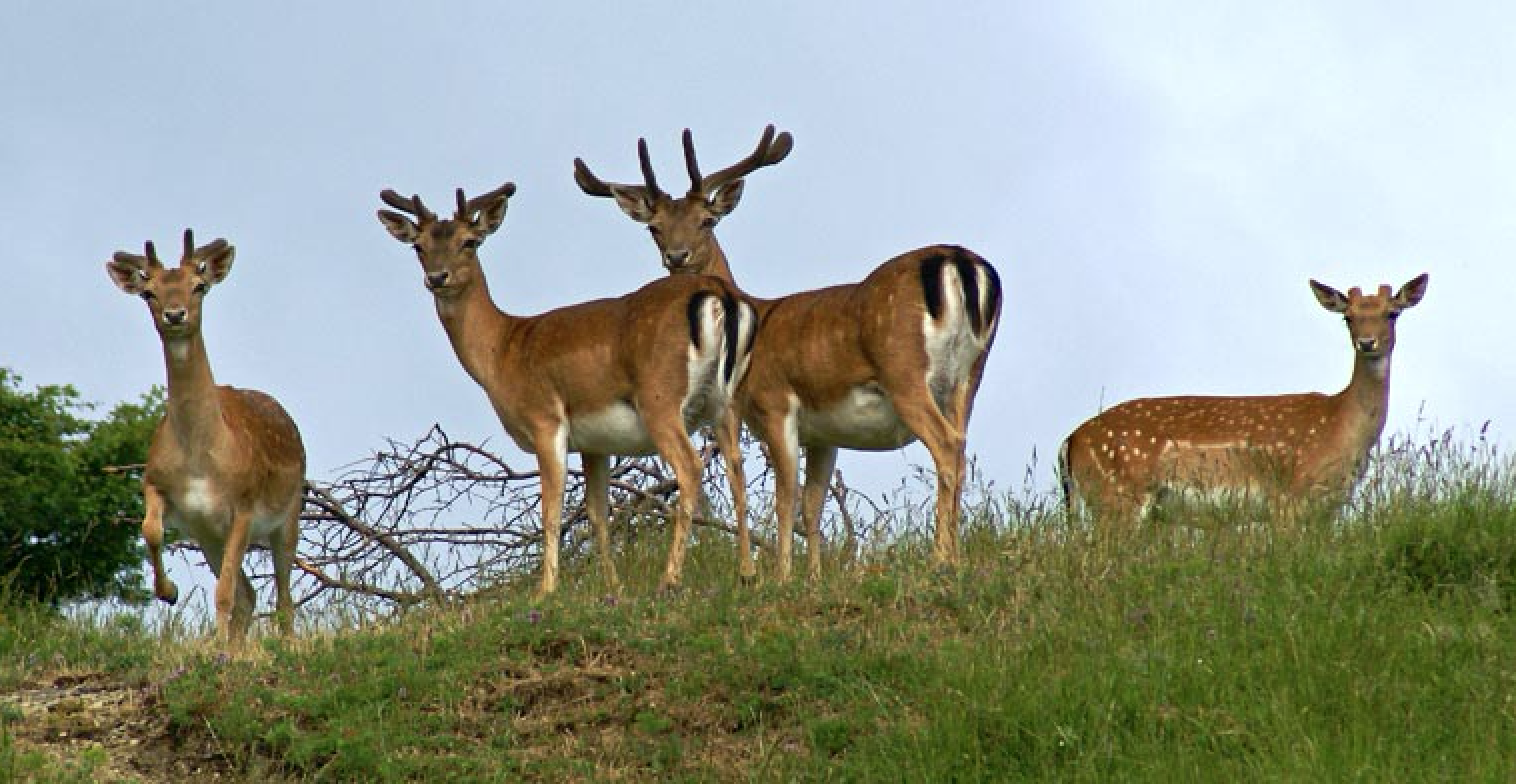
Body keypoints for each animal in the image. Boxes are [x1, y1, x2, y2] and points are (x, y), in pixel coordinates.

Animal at [106, 228, 307, 646]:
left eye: (199, 286)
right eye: (148, 292)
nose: (175, 314)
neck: (200, 457)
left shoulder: (245, 505)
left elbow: (224, 591)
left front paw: (217, 646)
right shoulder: (158, 484)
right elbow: (150, 530)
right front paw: (169, 593)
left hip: (289, 513)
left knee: (282, 596)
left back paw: (283, 644)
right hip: (210, 536)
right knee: (250, 594)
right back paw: (237, 646)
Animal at [375, 181, 754, 594]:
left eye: (469, 241)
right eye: (418, 245)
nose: (437, 277)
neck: (502, 351)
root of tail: (717, 293)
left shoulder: (544, 418)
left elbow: (551, 508)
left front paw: (545, 591)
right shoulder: (594, 443)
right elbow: (597, 511)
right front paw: (613, 590)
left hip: (660, 398)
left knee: (690, 466)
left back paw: (668, 580)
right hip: (725, 401)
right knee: (736, 467)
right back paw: (748, 572)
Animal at [573, 126, 1000, 579]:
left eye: (707, 220)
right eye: (654, 228)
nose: (677, 256)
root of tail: (960, 262)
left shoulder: (774, 400)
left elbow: (784, 499)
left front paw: (779, 577)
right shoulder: (823, 433)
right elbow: (811, 505)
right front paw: (812, 577)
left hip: (904, 371)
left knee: (946, 445)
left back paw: (941, 559)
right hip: (971, 373)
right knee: (962, 442)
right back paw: (956, 556)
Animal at [1061, 271, 1425, 521]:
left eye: (1392, 313)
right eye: (1347, 317)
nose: (1367, 342)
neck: (1341, 425)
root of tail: (1069, 442)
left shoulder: (1329, 506)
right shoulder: (1288, 495)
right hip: (1119, 496)